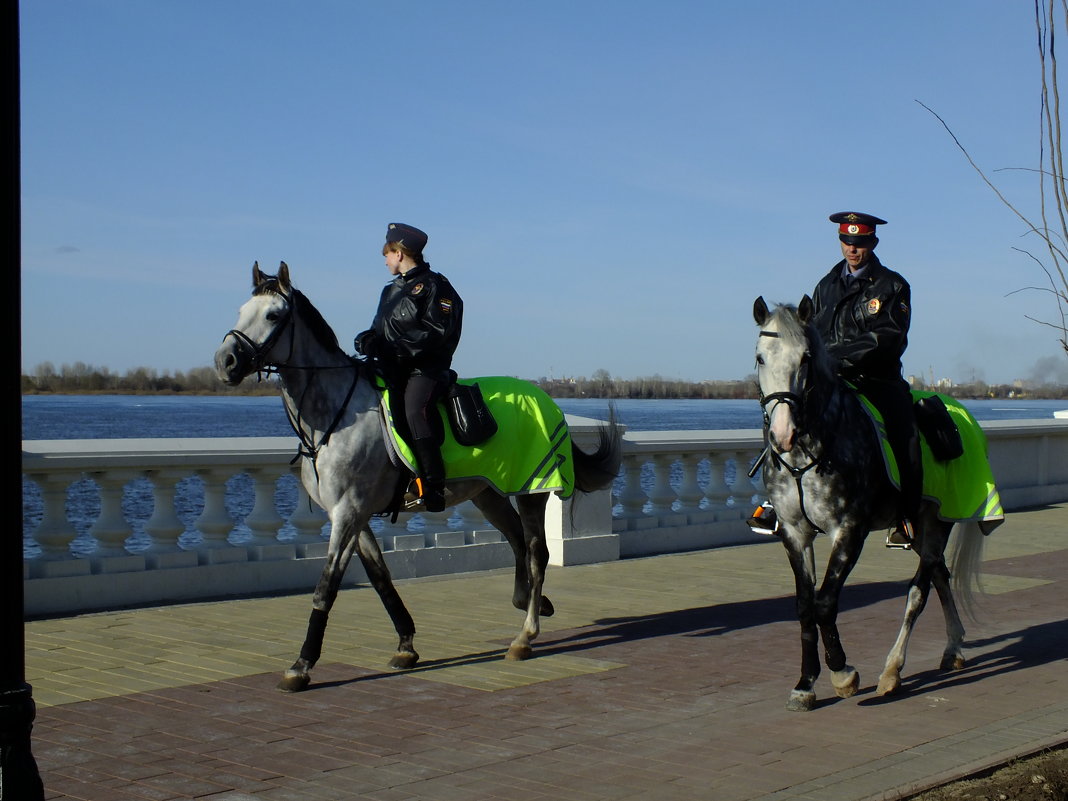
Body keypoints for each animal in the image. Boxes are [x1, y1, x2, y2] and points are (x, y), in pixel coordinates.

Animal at [212, 264, 623, 696]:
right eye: (241, 310)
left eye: (273, 314)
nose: (226, 361)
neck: (336, 415)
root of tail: (547, 400)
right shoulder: (352, 515)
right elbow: (380, 577)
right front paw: (406, 644)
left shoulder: (348, 512)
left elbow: (327, 586)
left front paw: (301, 665)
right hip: (487, 494)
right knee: (515, 541)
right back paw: (529, 601)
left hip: (531, 492)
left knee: (536, 552)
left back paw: (525, 636)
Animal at [751, 299, 982, 713]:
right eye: (761, 357)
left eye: (806, 358)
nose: (782, 433)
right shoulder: (795, 533)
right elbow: (804, 606)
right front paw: (805, 684)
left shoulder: (849, 529)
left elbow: (826, 602)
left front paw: (842, 674)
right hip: (919, 530)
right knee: (940, 574)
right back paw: (953, 647)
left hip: (937, 522)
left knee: (918, 591)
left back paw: (891, 672)